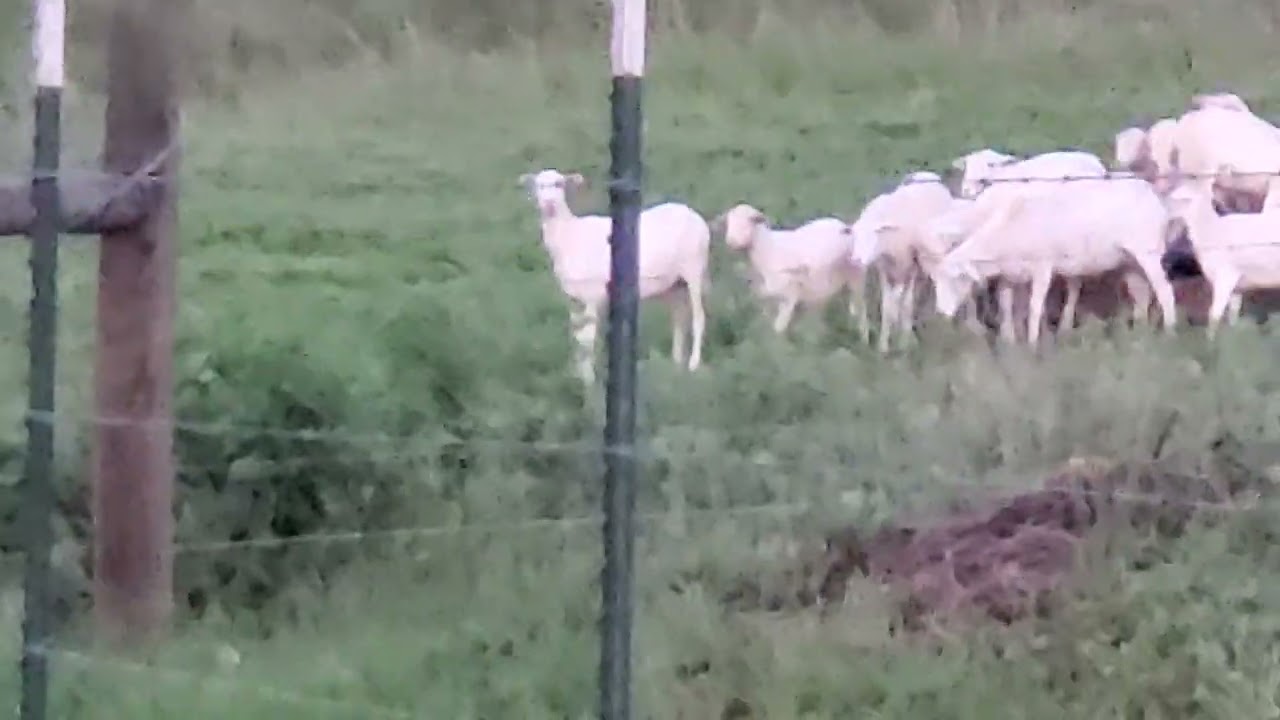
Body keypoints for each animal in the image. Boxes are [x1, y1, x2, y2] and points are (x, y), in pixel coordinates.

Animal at [519, 168, 709, 385]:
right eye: (538, 185)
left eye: (560, 184)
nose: (549, 204)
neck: (570, 235)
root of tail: (695, 215)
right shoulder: (572, 299)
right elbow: (578, 337)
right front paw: (578, 375)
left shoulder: (592, 295)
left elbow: (587, 338)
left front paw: (589, 381)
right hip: (673, 283)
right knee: (679, 319)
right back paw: (675, 364)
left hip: (694, 268)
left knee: (698, 317)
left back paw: (693, 364)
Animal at [718, 203, 867, 340]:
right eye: (728, 222)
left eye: (751, 220)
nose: (731, 241)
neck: (767, 248)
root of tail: (844, 226)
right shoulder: (767, 300)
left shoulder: (788, 295)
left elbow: (779, 328)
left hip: (855, 276)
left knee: (861, 309)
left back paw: (863, 338)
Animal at [849, 171, 969, 351]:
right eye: (854, 237)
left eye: (873, 235)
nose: (855, 260)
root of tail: (926, 173)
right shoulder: (885, 269)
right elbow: (888, 306)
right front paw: (883, 345)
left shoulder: (911, 265)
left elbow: (906, 304)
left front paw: (905, 342)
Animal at [929, 176, 1177, 347]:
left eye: (955, 280)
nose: (940, 314)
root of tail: (1153, 195)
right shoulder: (1010, 273)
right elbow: (1006, 304)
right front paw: (1011, 341)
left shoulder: (1042, 267)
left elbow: (1034, 307)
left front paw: (1032, 344)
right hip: (1130, 260)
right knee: (1141, 293)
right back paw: (1139, 334)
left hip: (1148, 252)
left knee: (1165, 292)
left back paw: (1169, 332)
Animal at [1164, 167, 1280, 338]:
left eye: (1180, 198)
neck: (1211, 228)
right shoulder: (1238, 286)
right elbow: (1233, 315)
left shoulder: (1225, 278)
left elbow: (1213, 317)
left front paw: (1211, 343)